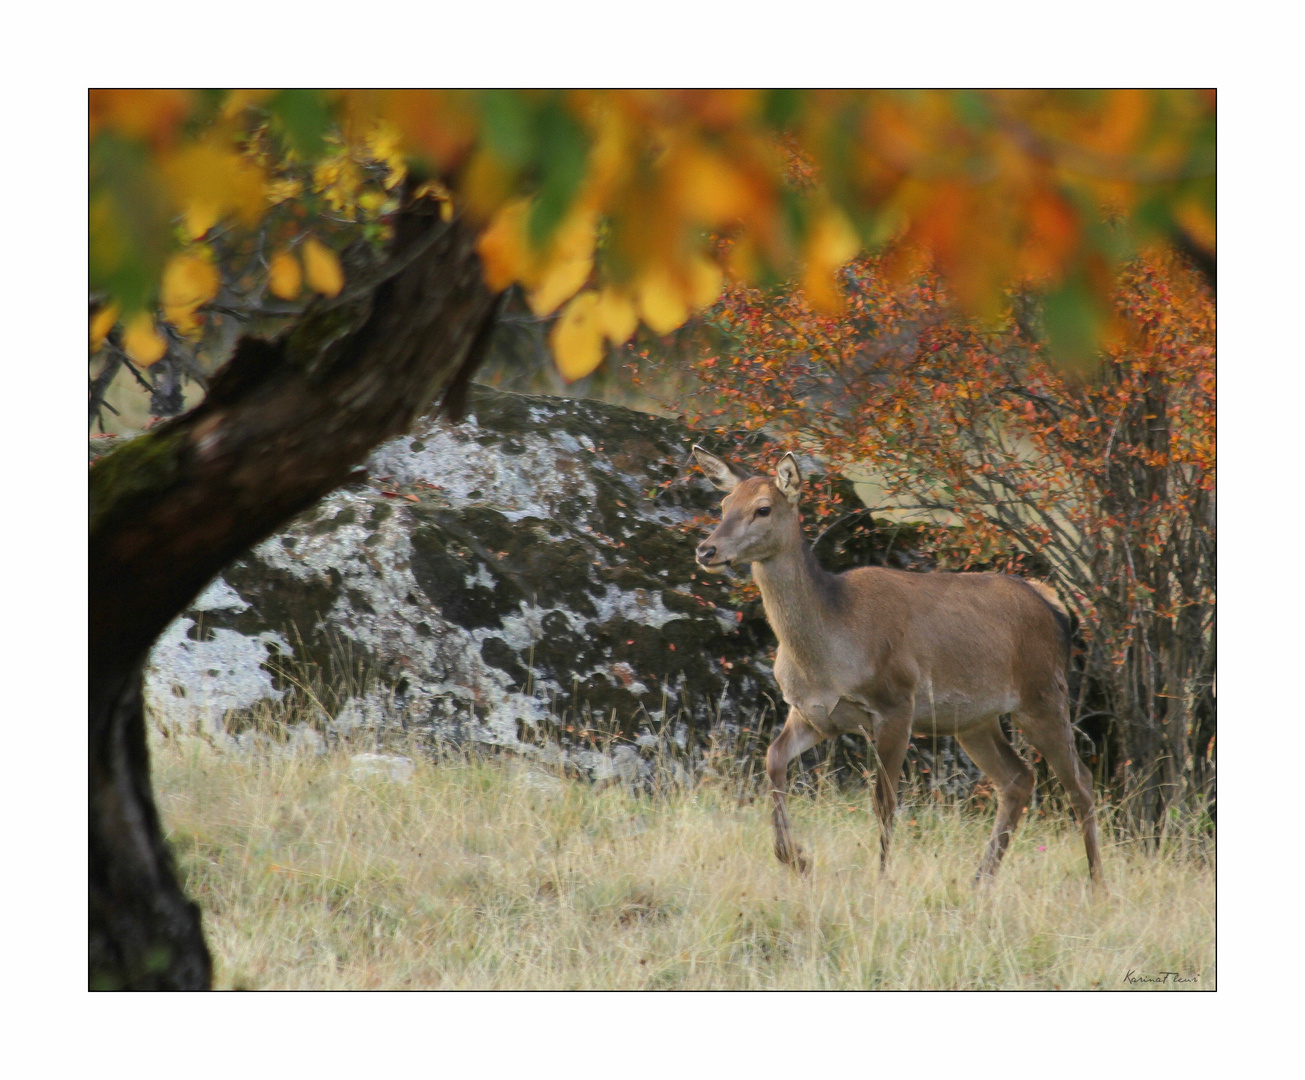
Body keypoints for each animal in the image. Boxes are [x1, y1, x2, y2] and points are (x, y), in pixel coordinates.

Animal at [694, 446, 1101, 886]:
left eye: (763, 509)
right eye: (723, 504)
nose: (706, 550)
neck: (828, 652)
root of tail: (1055, 605)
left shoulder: (895, 704)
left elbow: (884, 800)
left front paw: (882, 878)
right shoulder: (813, 714)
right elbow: (773, 760)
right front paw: (796, 858)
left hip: (1043, 693)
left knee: (1080, 782)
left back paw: (1097, 883)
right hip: (973, 719)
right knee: (1017, 778)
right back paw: (980, 880)